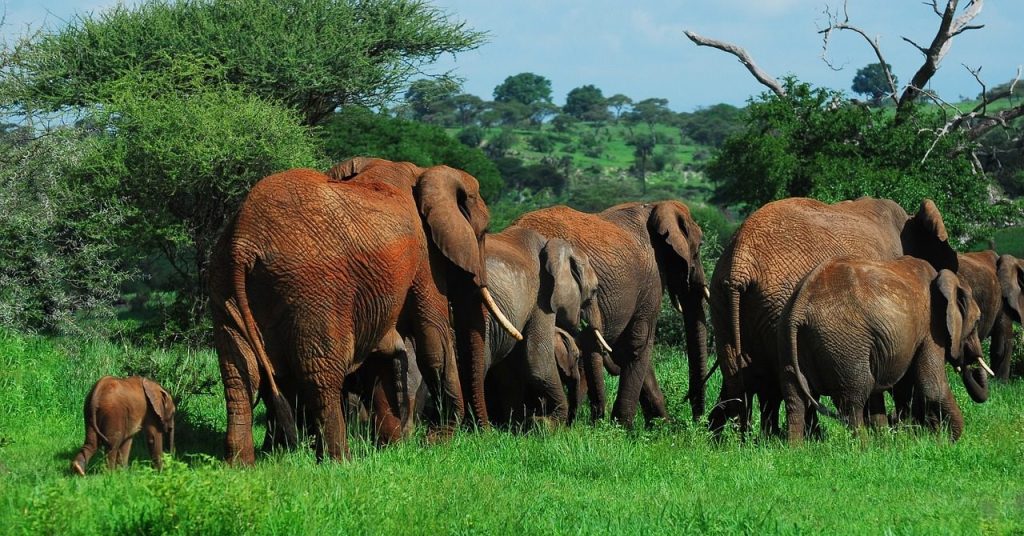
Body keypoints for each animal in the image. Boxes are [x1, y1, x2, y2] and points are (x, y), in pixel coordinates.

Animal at [209, 161, 521, 463]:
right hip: (313, 291)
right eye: (482, 234)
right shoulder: (424, 258)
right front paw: (438, 443)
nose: (487, 436)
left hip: (224, 287)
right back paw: (340, 462)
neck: (423, 173)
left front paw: (398, 446)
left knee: (239, 375)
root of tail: (243, 243)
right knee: (322, 375)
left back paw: (240, 465)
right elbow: (434, 340)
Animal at [513, 201, 708, 427]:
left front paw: (660, 426)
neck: (654, 207)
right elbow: (638, 342)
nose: (697, 420)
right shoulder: (651, 280)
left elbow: (628, 348)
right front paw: (624, 427)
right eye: (699, 248)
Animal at [778, 256, 990, 443]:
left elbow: (902, 388)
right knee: (853, 399)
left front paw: (904, 440)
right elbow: (932, 387)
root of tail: (800, 304)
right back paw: (863, 449)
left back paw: (796, 450)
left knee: (795, 399)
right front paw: (947, 443)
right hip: (845, 342)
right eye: (977, 321)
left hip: (790, 340)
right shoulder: (931, 329)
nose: (970, 365)